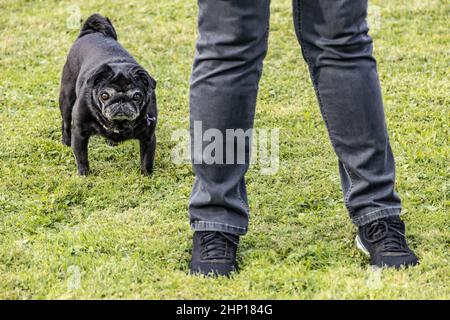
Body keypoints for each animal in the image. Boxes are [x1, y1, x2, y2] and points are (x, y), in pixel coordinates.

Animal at [59, 13, 158, 175]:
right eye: (104, 95)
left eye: (137, 96)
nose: (121, 100)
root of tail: (92, 32)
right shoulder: (80, 134)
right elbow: (82, 158)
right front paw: (84, 175)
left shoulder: (148, 138)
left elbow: (146, 161)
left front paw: (147, 177)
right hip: (66, 99)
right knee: (66, 122)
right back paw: (66, 142)